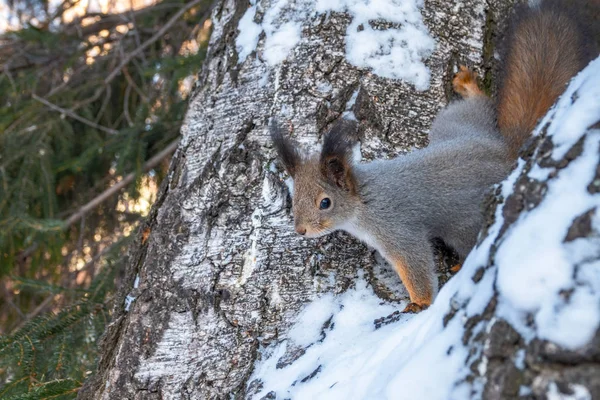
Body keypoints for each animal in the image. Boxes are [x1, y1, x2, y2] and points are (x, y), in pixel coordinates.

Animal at [270, 0, 596, 312]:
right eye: (294, 197)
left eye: (325, 203)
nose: (300, 230)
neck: (364, 199)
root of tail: (504, 153)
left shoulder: (397, 229)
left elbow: (416, 264)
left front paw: (419, 303)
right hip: (453, 125)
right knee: (476, 107)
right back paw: (468, 86)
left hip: (466, 223)